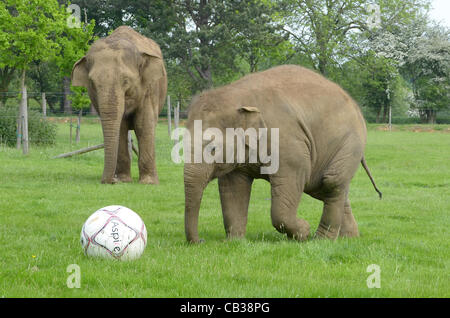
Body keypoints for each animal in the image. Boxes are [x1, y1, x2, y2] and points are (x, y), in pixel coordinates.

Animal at [72, 26, 167, 185]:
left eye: (126, 81)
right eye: (92, 83)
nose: (112, 180)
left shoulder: (150, 89)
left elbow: (143, 124)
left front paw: (148, 183)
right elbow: (121, 128)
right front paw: (124, 180)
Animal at [182, 65, 380, 243]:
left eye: (213, 149)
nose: (201, 241)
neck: (237, 96)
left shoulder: (287, 143)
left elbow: (290, 184)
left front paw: (304, 232)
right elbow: (233, 187)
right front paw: (235, 242)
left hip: (350, 143)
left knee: (331, 182)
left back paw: (322, 240)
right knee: (323, 187)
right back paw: (349, 238)